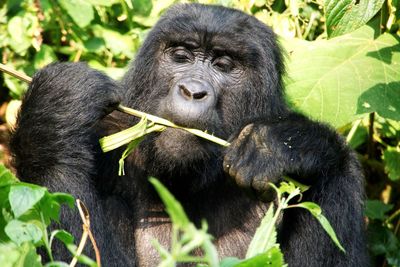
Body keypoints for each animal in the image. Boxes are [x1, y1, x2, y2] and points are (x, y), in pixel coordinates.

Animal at [10, 2, 368, 267]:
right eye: (181, 56)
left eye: (223, 65)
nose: (193, 91)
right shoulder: (108, 131)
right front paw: (58, 107)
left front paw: (289, 143)